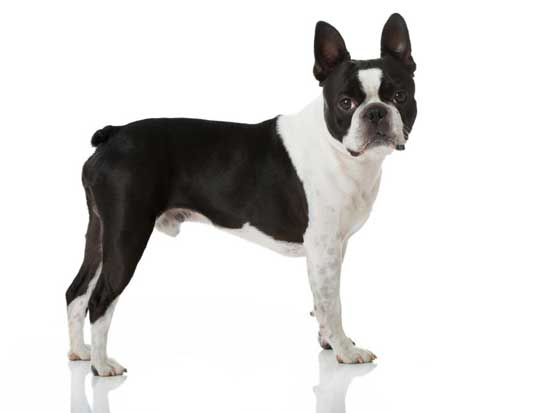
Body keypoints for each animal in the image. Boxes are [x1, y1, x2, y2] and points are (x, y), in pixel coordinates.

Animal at [66, 13, 417, 376]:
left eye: (400, 96)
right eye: (346, 103)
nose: (376, 112)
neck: (338, 150)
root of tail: (114, 135)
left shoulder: (332, 248)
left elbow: (320, 300)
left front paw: (328, 344)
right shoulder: (324, 247)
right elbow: (332, 304)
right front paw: (346, 351)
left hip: (100, 231)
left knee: (76, 292)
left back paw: (81, 352)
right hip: (127, 233)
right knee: (100, 298)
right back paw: (102, 365)